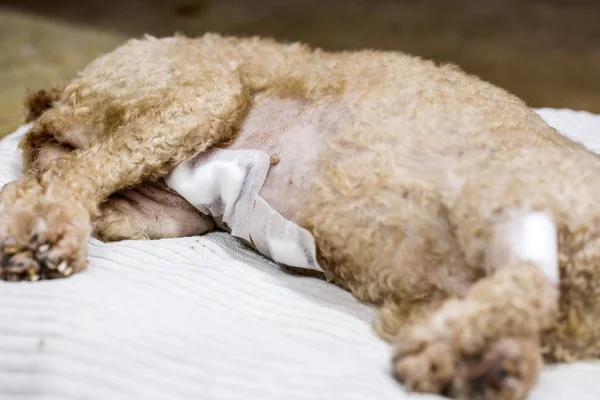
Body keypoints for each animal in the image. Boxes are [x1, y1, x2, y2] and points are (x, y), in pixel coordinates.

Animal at [1, 33, 600, 396]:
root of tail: (79, 78)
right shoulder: (498, 193)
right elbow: (529, 283)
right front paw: (470, 353)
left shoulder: (423, 301)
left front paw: (484, 362)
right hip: (203, 93)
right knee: (70, 170)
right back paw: (48, 235)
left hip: (172, 191)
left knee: (46, 162)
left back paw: (48, 217)